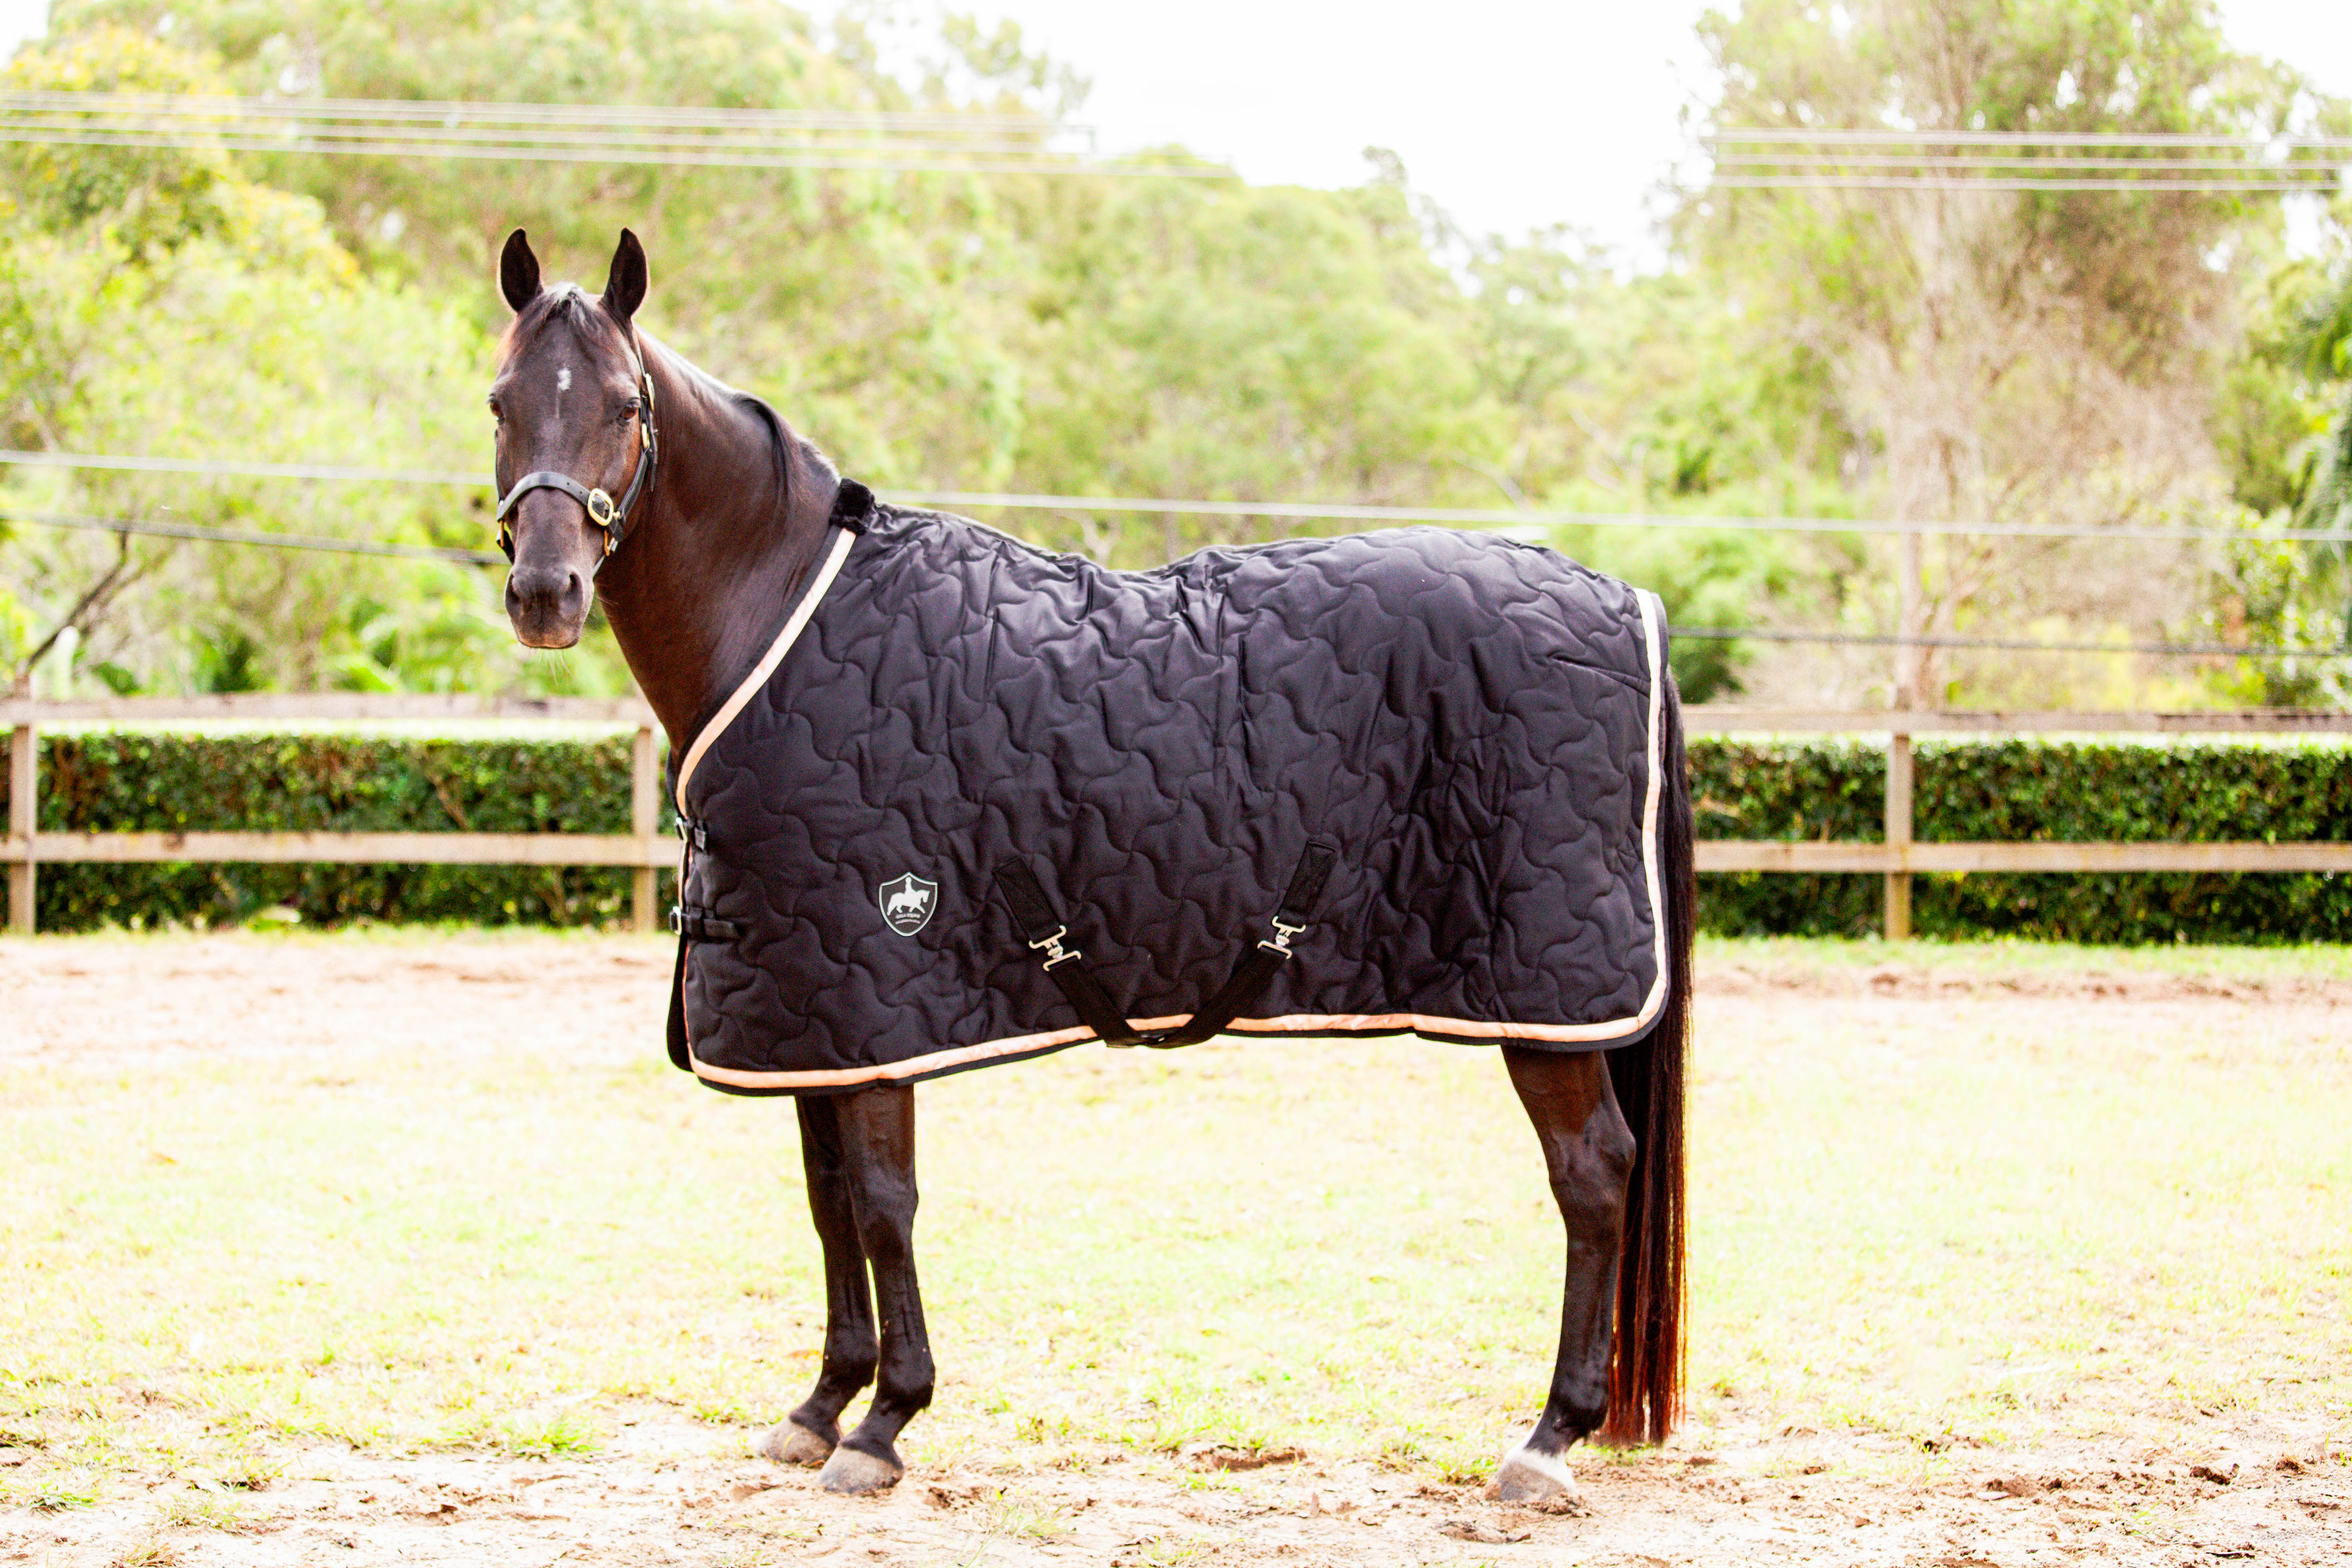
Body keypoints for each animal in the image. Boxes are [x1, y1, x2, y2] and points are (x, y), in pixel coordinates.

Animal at [487, 227, 1693, 1504]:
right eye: (502, 401)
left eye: (625, 406)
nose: (545, 594)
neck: (780, 620)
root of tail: (1626, 600)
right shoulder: (813, 1014)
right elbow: (827, 1204)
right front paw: (821, 1406)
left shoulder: (878, 996)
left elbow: (884, 1203)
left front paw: (886, 1422)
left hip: (1545, 999)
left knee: (1593, 1175)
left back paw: (1547, 1437)